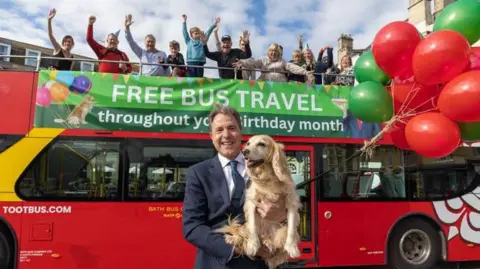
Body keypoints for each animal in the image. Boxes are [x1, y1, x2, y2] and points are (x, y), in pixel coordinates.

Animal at [217, 134, 302, 268]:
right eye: (248, 143)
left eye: (261, 144)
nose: (244, 151)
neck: (267, 177)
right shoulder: (252, 203)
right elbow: (252, 228)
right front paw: (253, 245)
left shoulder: (291, 203)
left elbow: (292, 229)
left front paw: (292, 248)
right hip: (244, 227)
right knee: (242, 234)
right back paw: (234, 239)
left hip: (281, 231)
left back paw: (269, 243)